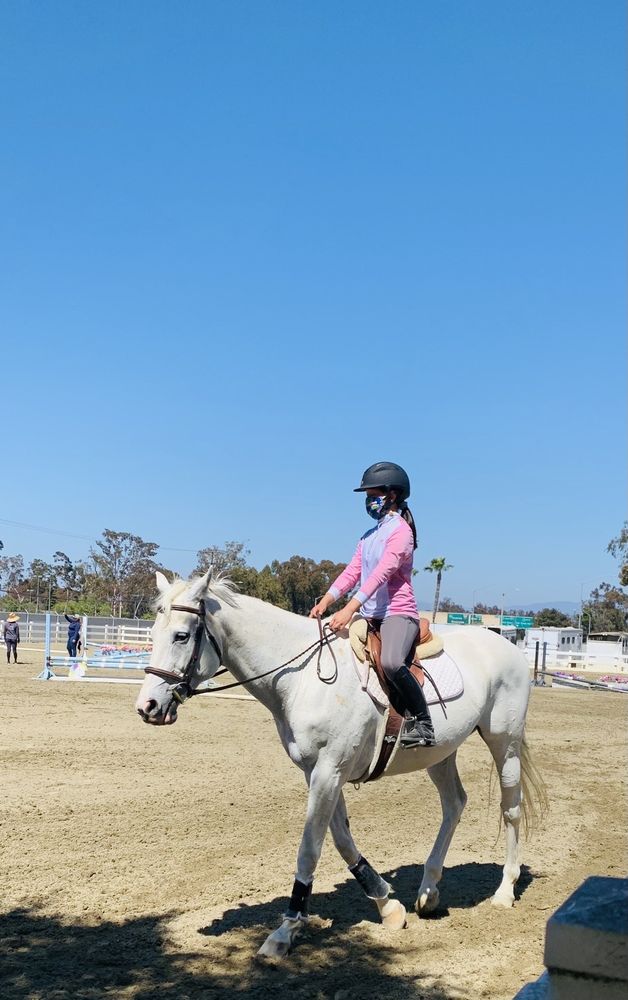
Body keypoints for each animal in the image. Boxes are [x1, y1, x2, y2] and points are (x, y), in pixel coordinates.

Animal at [136, 569, 546, 960]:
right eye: (153, 633)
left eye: (181, 636)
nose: (147, 707)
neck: (303, 678)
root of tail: (507, 646)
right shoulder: (318, 772)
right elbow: (342, 839)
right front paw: (387, 905)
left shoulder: (329, 770)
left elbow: (310, 847)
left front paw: (285, 931)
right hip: (440, 753)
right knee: (454, 804)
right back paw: (428, 892)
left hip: (504, 742)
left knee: (510, 809)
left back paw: (505, 891)